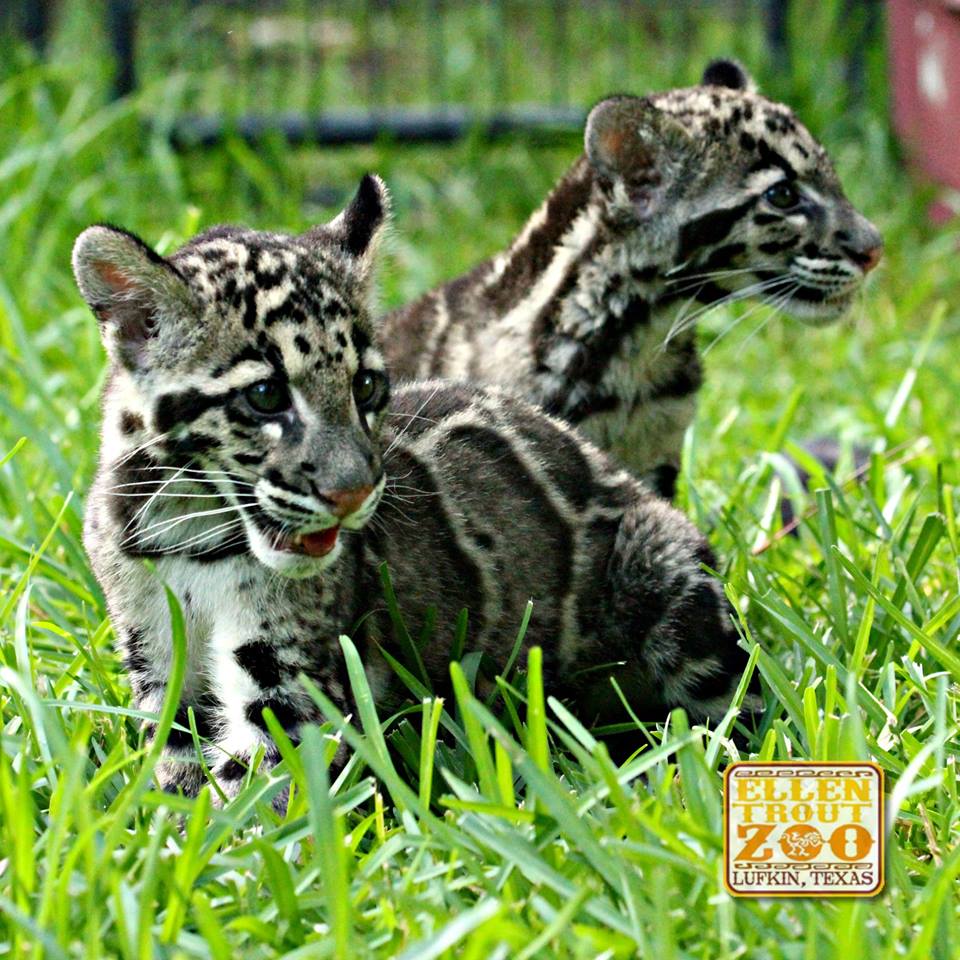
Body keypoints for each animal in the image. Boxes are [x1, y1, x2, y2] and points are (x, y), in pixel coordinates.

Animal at [75, 175, 756, 799]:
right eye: (265, 395)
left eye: (366, 387)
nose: (354, 493)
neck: (188, 531)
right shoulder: (154, 655)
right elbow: (176, 766)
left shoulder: (289, 683)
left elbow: (264, 798)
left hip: (668, 577)